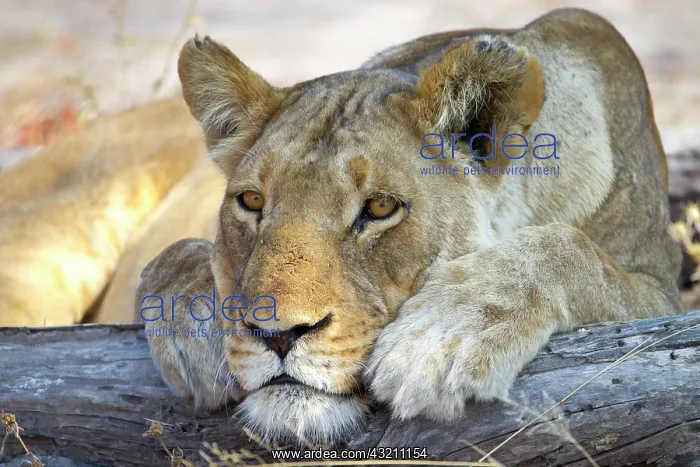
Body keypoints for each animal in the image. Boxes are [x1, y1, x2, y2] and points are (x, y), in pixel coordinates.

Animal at [0, 8, 682, 446]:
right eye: (251, 200)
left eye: (379, 209)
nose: (277, 335)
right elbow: (179, 252)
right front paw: (199, 326)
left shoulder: (661, 290)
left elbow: (574, 252)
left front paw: (442, 336)